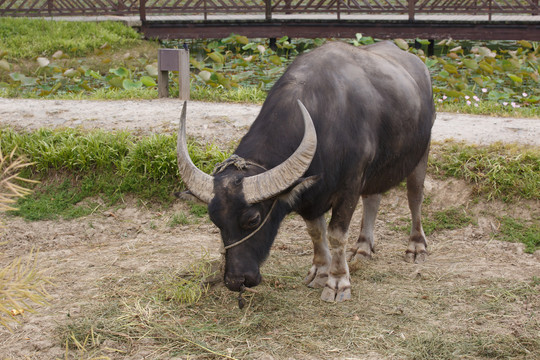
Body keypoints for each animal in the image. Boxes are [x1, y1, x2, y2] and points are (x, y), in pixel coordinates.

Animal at [177, 40, 434, 302]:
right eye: (215, 220)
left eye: (253, 219)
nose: (235, 280)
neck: (325, 120)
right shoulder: (310, 196)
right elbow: (316, 233)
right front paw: (320, 271)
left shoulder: (350, 186)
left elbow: (336, 234)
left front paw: (337, 282)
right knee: (373, 198)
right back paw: (363, 248)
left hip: (421, 152)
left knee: (415, 197)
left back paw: (416, 246)